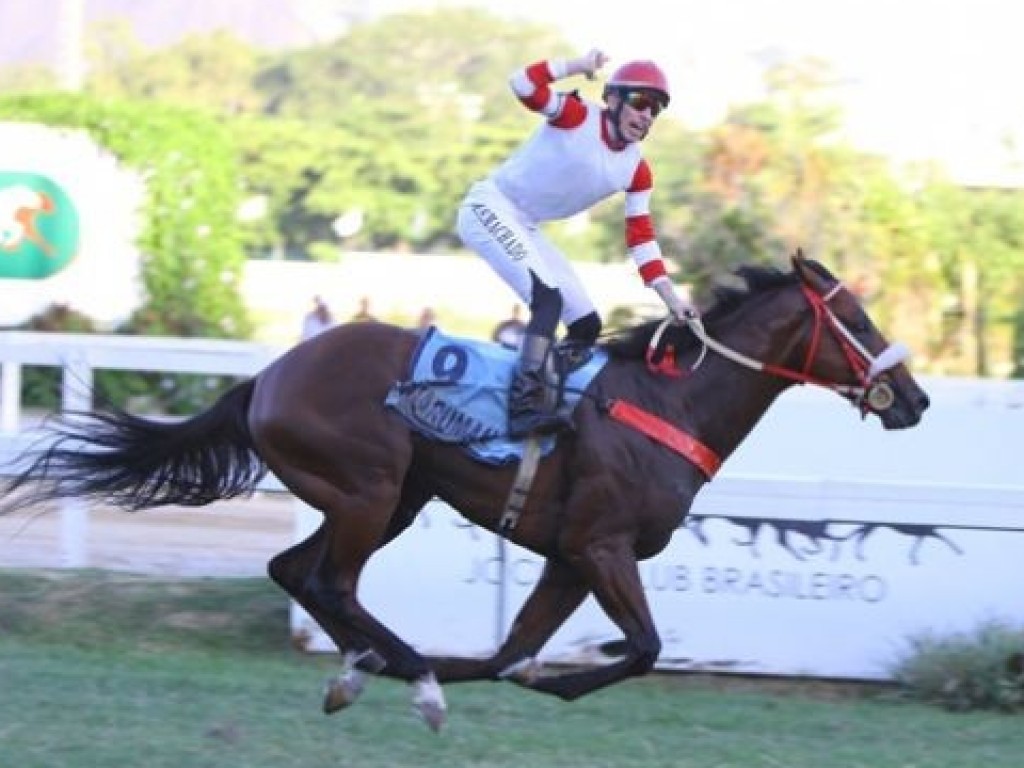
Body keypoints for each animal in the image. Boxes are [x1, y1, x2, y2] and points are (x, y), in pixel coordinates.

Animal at [0, 253, 929, 733]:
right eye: (859, 321)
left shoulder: (568, 557)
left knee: (295, 572)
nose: (913, 398)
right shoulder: (600, 546)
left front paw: (500, 670)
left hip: (389, 498)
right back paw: (407, 672)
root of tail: (270, 373)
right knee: (329, 581)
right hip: (369, 488)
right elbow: (638, 648)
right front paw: (529, 676)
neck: (670, 403)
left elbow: (511, 653)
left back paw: (372, 666)